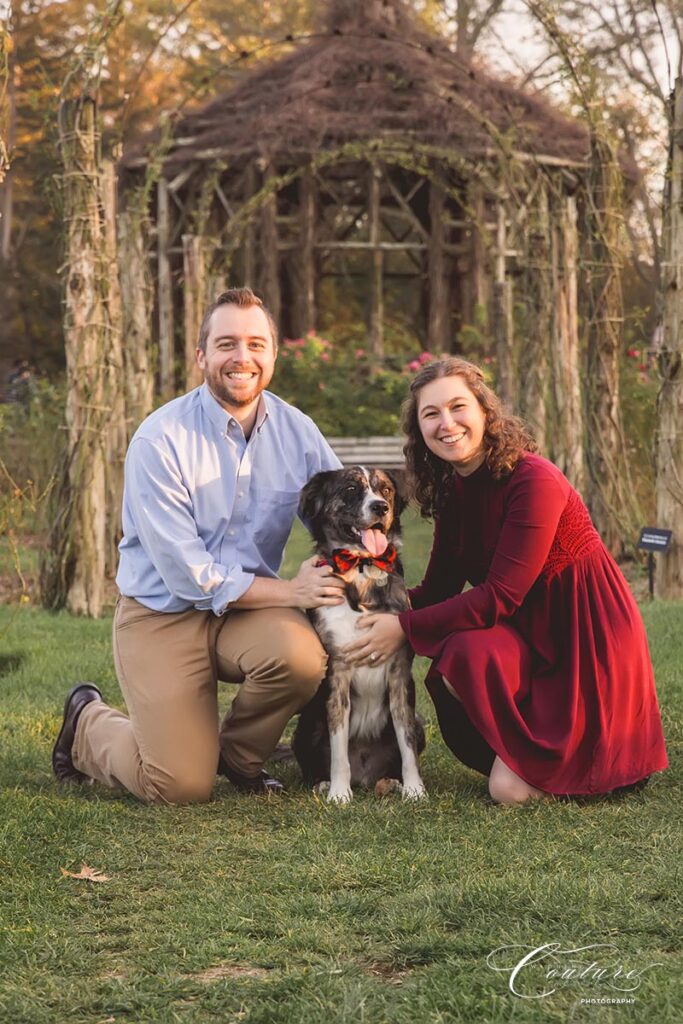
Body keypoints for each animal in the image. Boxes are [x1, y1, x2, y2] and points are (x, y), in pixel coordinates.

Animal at [292, 468, 428, 802]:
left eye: (386, 490)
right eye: (351, 489)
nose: (380, 507)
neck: (363, 567)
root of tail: (365, 776)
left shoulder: (400, 675)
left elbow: (407, 745)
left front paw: (415, 790)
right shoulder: (338, 674)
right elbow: (338, 748)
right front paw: (339, 793)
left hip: (420, 722)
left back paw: (391, 782)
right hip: (303, 728)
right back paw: (323, 783)